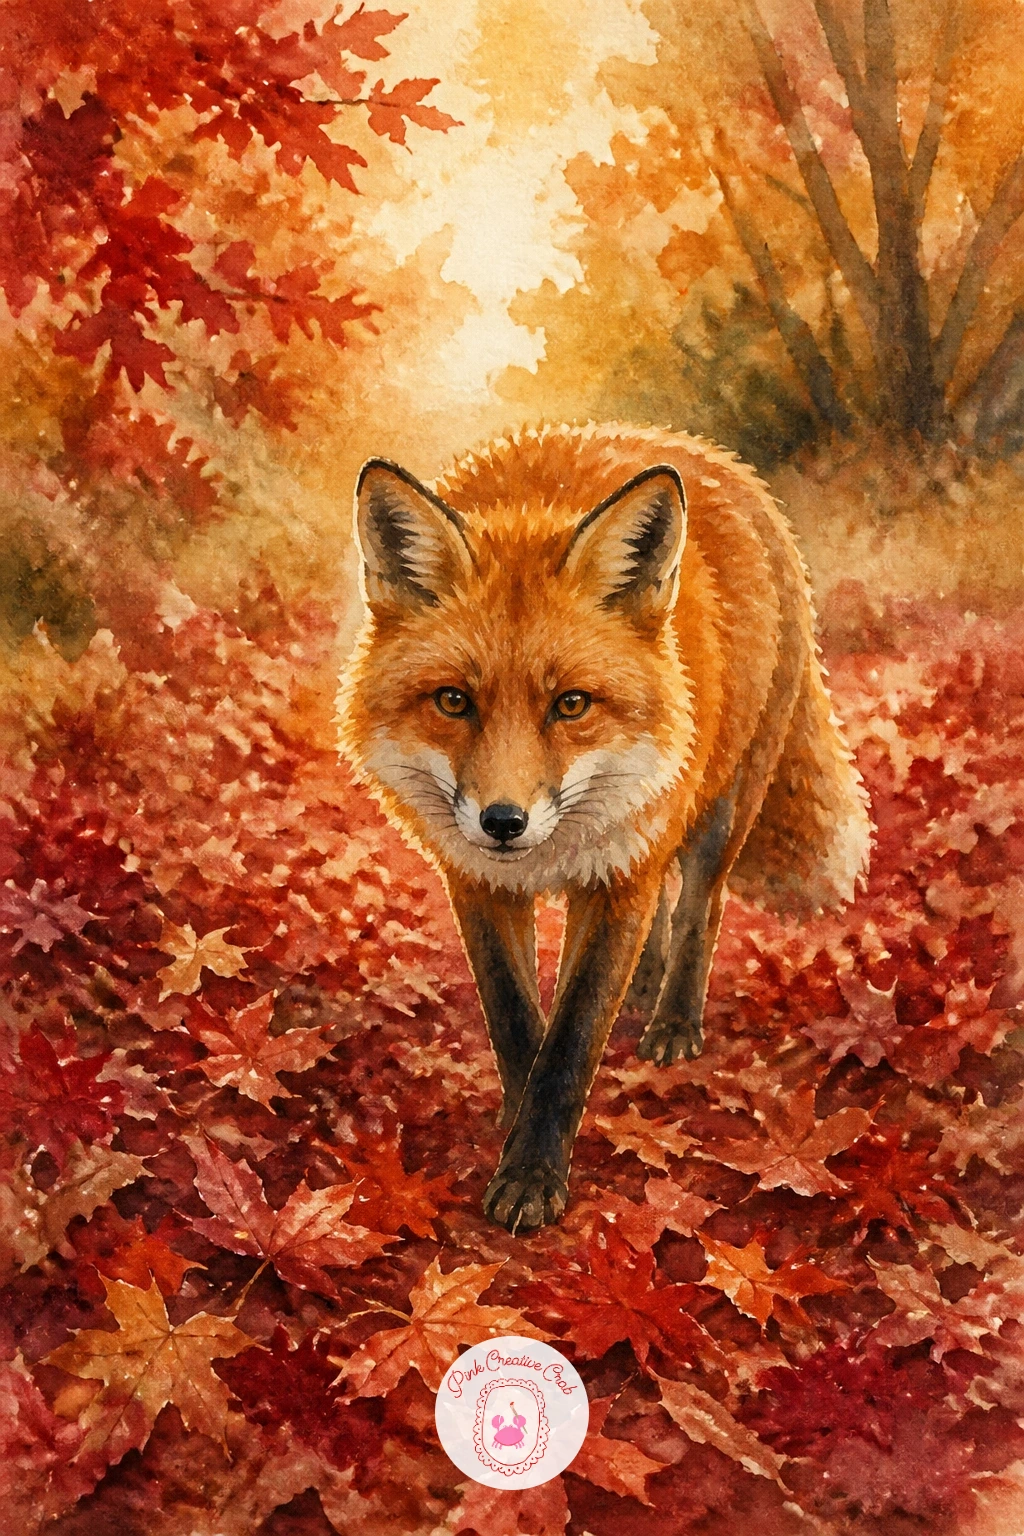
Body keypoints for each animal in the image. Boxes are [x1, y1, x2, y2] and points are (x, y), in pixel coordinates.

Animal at [337, 423, 871, 1234]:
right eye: (454, 700)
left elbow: (572, 1036)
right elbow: (516, 1018)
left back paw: (673, 1020)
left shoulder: (619, 875)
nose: (502, 821)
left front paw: (533, 1171)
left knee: (700, 908)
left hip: (717, 811)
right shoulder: (479, 882)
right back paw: (646, 987)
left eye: (572, 704)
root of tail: (706, 456)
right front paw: (519, 1121)